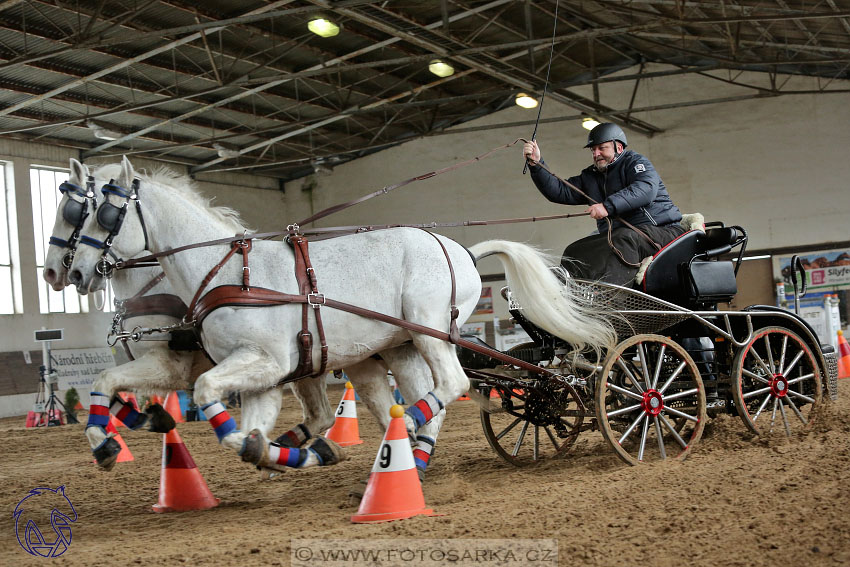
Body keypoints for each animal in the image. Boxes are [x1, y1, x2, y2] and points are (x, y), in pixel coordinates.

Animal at [66, 156, 608, 474]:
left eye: (100, 212)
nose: (67, 272)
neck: (224, 272)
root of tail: (460, 251)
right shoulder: (260, 371)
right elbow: (117, 384)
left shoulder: (250, 362)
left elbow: (202, 395)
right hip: (393, 348)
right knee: (417, 397)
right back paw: (404, 450)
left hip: (429, 332)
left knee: (450, 384)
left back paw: (405, 431)